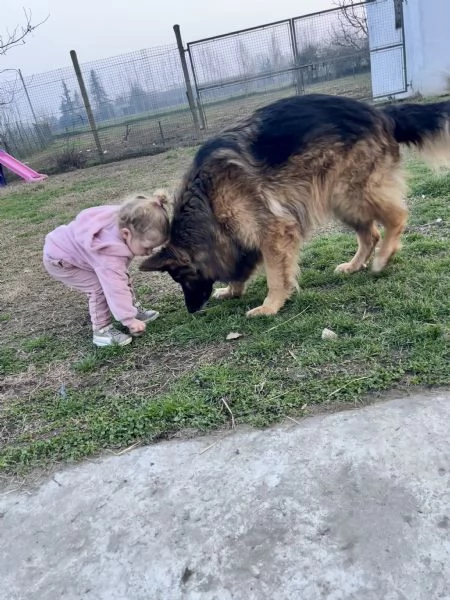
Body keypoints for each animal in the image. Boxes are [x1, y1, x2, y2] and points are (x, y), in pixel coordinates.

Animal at [141, 94, 450, 316]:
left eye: (183, 279)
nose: (191, 311)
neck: (207, 199)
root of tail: (382, 113)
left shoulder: (274, 231)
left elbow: (276, 276)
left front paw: (270, 306)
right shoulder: (241, 236)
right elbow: (243, 267)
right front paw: (232, 291)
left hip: (351, 194)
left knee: (398, 216)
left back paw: (384, 256)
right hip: (342, 201)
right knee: (371, 233)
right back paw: (354, 266)